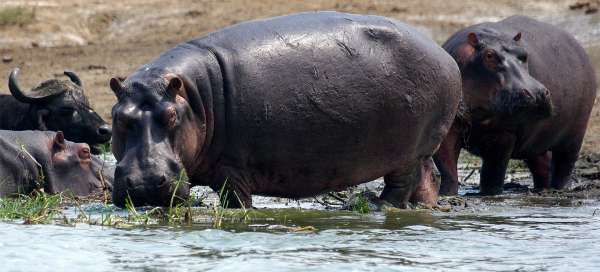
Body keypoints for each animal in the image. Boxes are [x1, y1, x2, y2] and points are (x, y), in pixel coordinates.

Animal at [110, 10, 462, 206]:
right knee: (426, 181)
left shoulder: (232, 171)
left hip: (407, 153)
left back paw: (376, 207)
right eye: (120, 118)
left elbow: (236, 205)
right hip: (420, 152)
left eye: (171, 116)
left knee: (401, 185)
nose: (143, 184)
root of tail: (445, 57)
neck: (194, 98)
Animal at [434, 15, 596, 196]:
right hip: (536, 140)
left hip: (575, 133)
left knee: (564, 164)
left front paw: (490, 194)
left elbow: (493, 172)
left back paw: (560, 189)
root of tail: (579, 48)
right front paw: (446, 194)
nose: (537, 93)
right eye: (489, 55)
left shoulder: (505, 133)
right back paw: (542, 190)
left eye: (524, 54)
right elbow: (447, 169)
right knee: (542, 164)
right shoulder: (447, 130)